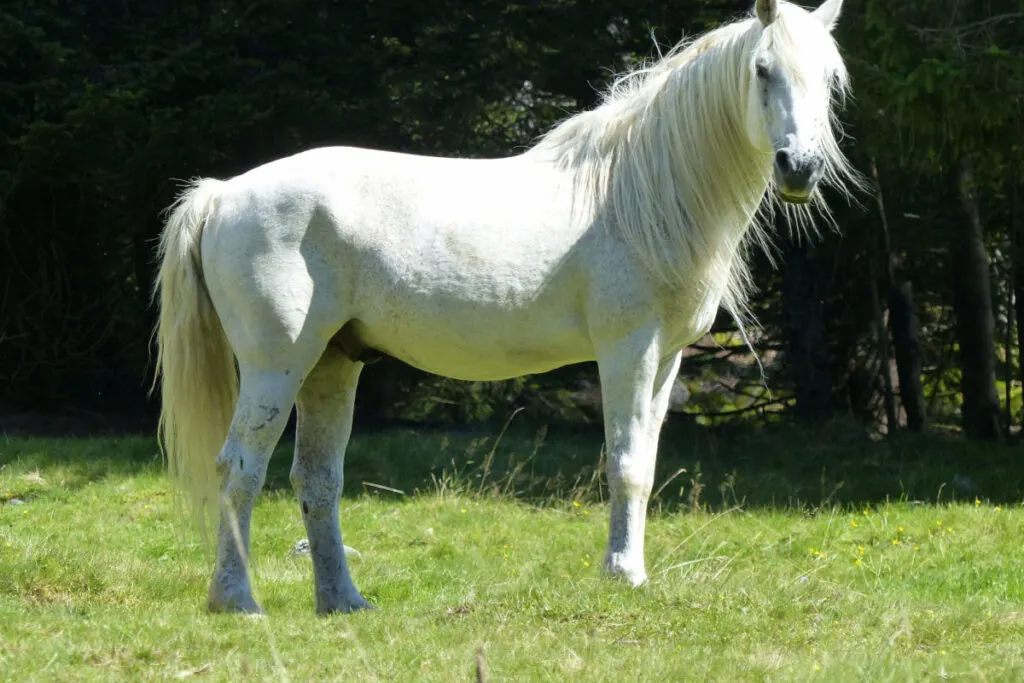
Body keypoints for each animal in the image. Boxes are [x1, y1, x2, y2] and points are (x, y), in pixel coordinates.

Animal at [149, 0, 856, 614]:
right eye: (763, 70)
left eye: (829, 78)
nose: (799, 168)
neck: (637, 193)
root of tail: (223, 193)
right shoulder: (627, 351)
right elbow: (625, 464)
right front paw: (623, 576)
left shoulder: (666, 360)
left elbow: (647, 465)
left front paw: (631, 568)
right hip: (277, 367)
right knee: (240, 470)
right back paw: (238, 602)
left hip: (332, 364)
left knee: (316, 480)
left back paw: (344, 602)